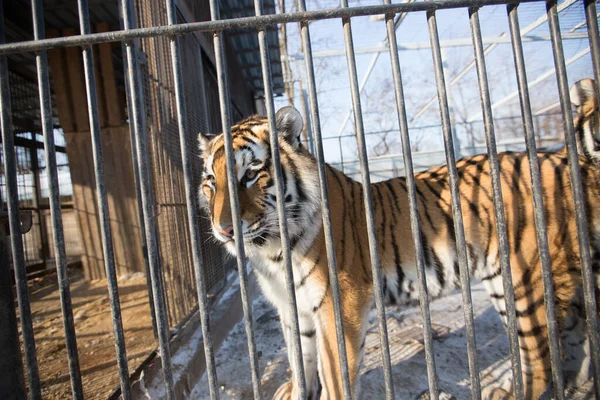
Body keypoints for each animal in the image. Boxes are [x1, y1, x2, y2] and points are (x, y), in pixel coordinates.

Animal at [198, 79, 600, 400]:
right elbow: (301, 363)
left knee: (542, 356)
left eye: (250, 175)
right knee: (579, 335)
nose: (224, 229)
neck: (271, 250)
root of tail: (566, 160)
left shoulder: (338, 306)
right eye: (212, 181)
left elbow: (334, 375)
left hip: (525, 283)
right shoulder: (291, 308)